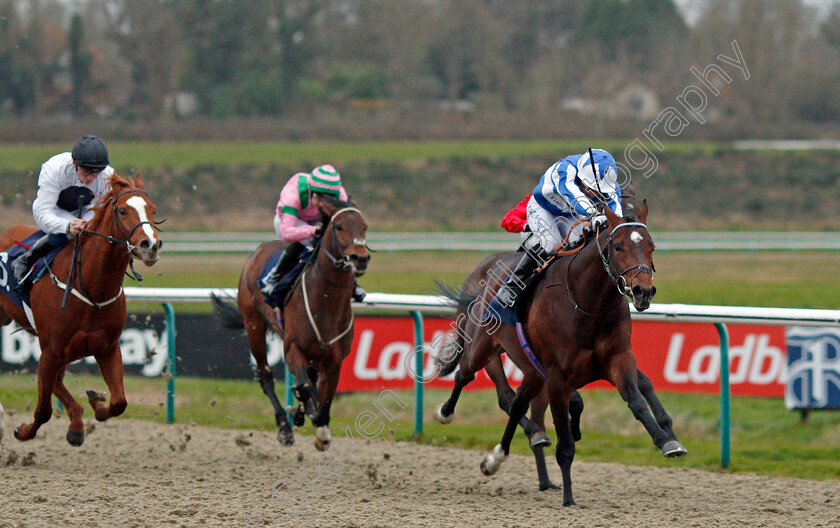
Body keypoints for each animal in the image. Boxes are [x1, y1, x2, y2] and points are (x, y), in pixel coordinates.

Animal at [0, 175, 162, 448]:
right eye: (122, 210)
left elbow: (119, 402)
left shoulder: (107, 347)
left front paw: (95, 403)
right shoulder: (52, 351)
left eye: (153, 209)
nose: (151, 244)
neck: (92, 289)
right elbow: (43, 410)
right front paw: (23, 431)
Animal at [210, 196, 368, 452]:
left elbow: (325, 398)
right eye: (338, 227)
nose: (360, 258)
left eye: (364, 227)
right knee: (266, 377)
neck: (327, 302)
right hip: (254, 325)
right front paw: (298, 413)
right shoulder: (293, 348)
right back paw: (285, 426)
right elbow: (304, 388)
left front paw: (319, 427)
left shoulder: (334, 360)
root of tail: (258, 251)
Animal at [434, 200, 684, 506]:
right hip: (484, 348)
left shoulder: (618, 359)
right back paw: (446, 412)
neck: (587, 304)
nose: (643, 291)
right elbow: (565, 443)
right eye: (618, 246)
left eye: (651, 246)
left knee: (516, 403)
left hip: (532, 371)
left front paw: (666, 440)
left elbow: (637, 399)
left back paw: (496, 459)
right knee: (466, 375)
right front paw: (568, 498)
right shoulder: (557, 378)